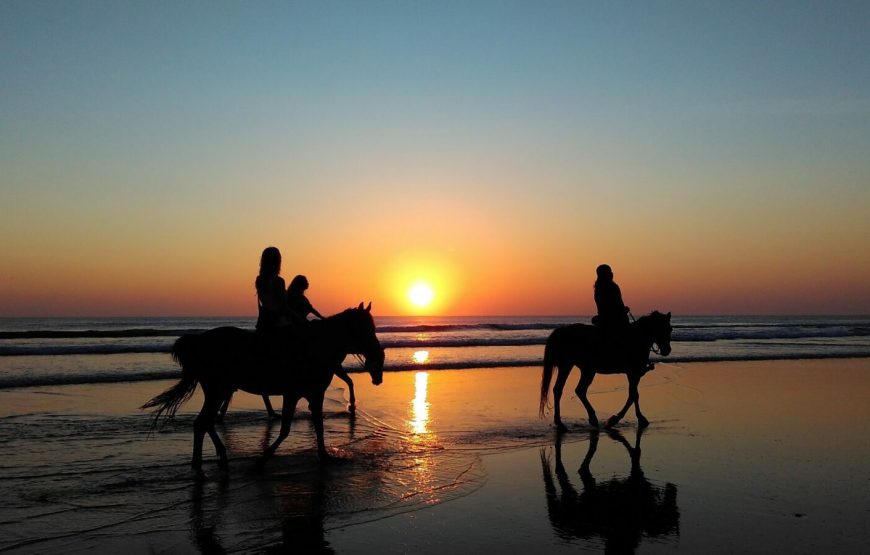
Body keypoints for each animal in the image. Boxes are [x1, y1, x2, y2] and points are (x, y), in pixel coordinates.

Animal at [143, 304, 384, 474]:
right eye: (365, 329)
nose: (378, 355)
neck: (316, 346)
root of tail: (197, 341)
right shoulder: (293, 394)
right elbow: (287, 429)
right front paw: (262, 460)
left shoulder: (314, 395)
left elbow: (318, 426)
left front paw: (324, 456)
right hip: (217, 390)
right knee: (204, 422)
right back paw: (207, 461)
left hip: (218, 391)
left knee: (204, 423)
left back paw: (212, 460)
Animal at [540, 310, 676, 432]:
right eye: (662, 328)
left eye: (670, 329)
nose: (667, 350)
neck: (637, 338)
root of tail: (562, 330)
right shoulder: (633, 373)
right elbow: (633, 395)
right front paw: (616, 419)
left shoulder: (633, 374)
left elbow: (634, 395)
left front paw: (638, 418)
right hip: (572, 366)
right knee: (567, 390)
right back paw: (568, 421)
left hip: (582, 369)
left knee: (573, 390)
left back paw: (579, 420)